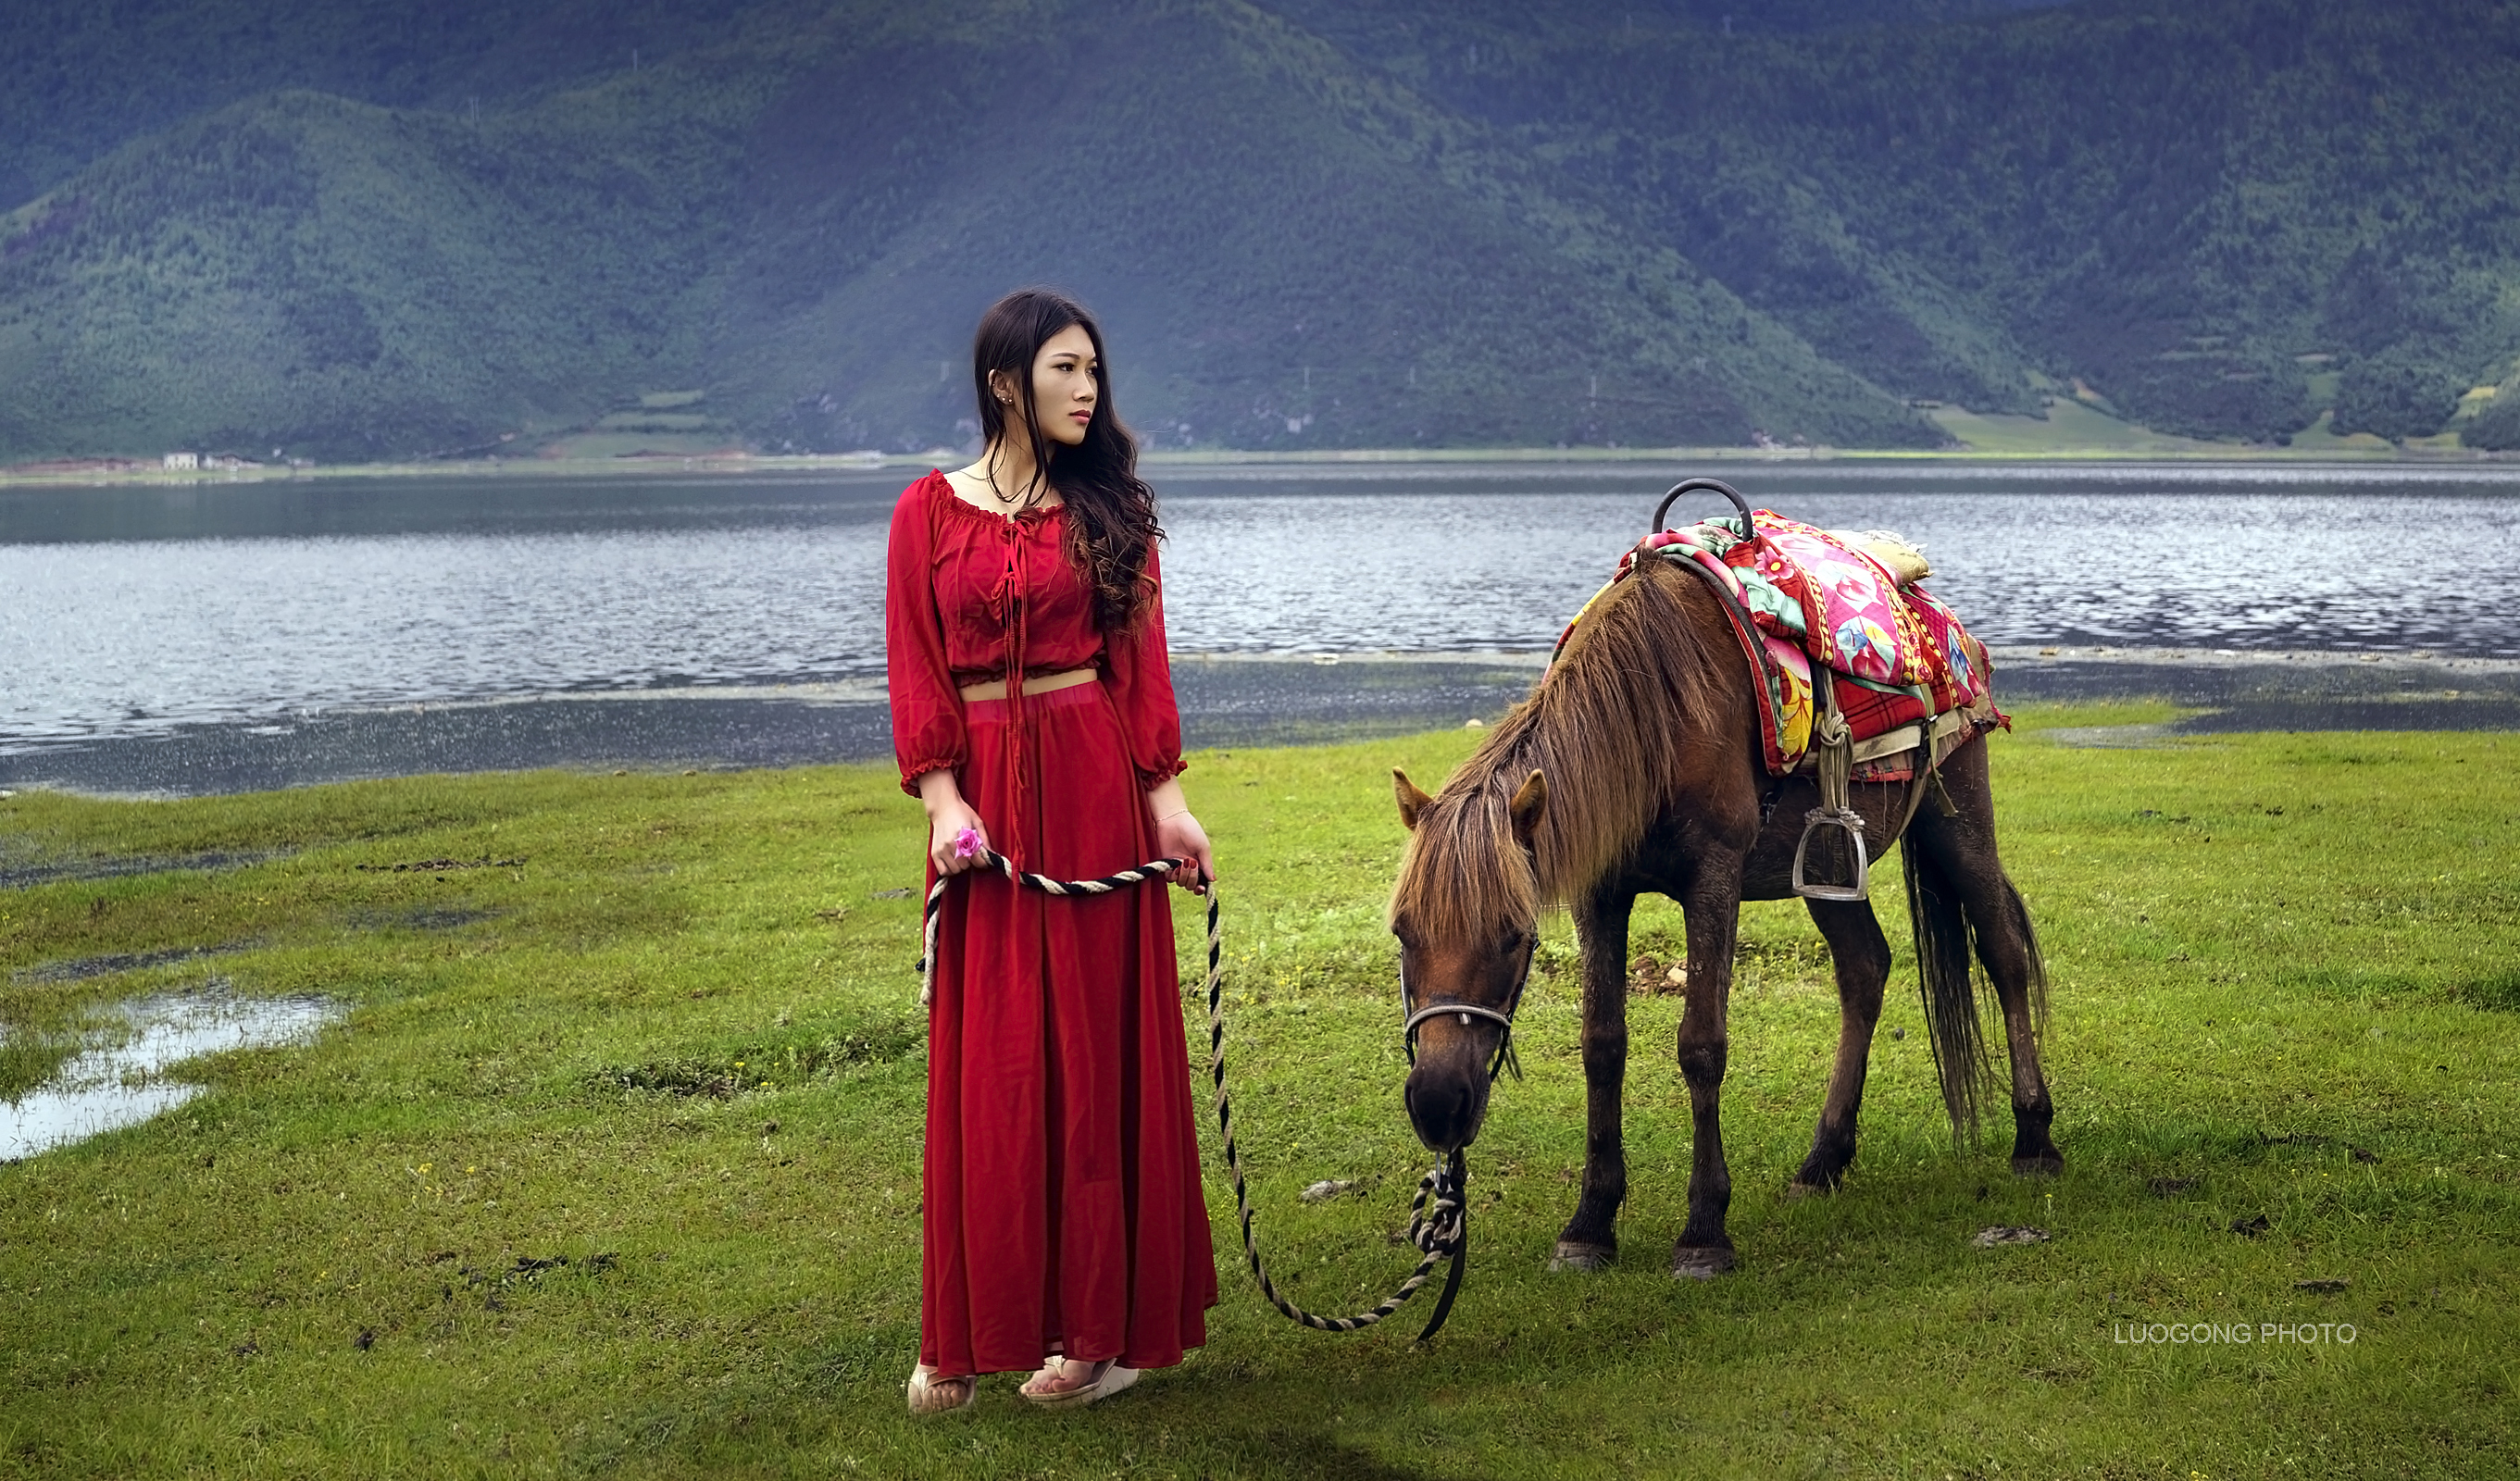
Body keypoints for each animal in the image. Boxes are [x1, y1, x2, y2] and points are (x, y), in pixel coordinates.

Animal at [1391, 549, 2056, 1279]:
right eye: (1402, 934)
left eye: (1514, 936)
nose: (1437, 1103)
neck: (1652, 717)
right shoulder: (1602, 892)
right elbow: (1602, 1043)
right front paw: (1590, 1222)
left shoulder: (1712, 881)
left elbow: (1702, 1044)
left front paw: (1704, 1230)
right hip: (1828, 866)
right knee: (1865, 970)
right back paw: (1823, 1161)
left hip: (1955, 816)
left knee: (2003, 950)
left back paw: (2033, 1136)